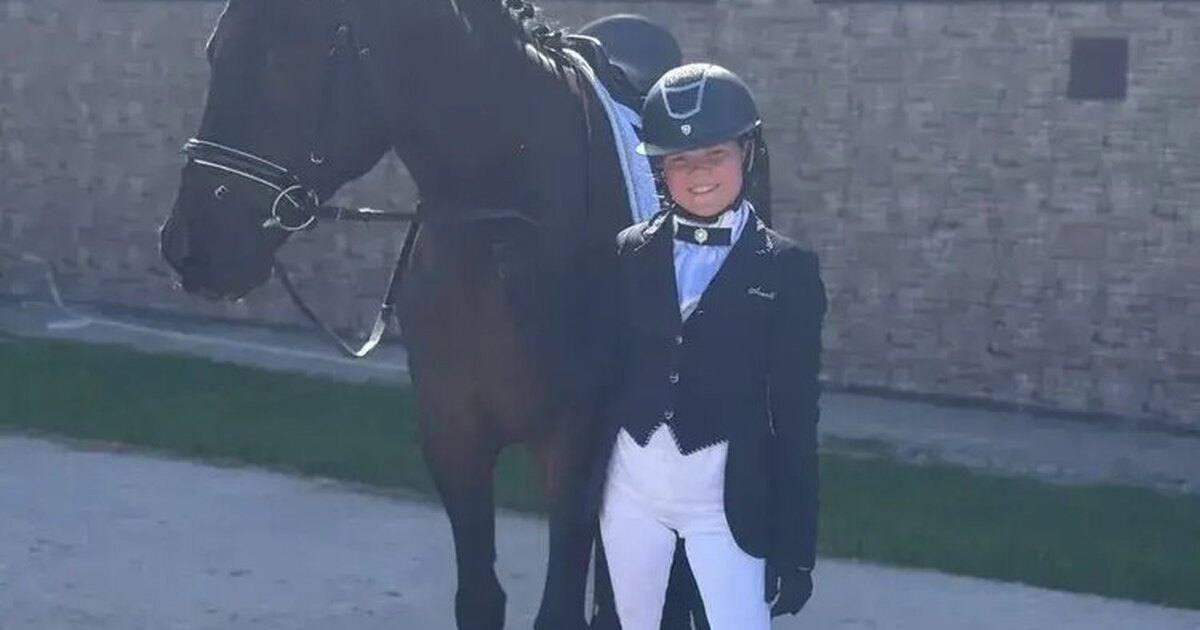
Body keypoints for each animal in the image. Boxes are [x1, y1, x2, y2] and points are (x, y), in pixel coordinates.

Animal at [159, 1, 655, 628]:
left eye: (281, 61)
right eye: (214, 50)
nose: (187, 244)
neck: (508, 229)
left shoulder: (576, 444)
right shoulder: (453, 436)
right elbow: (479, 598)